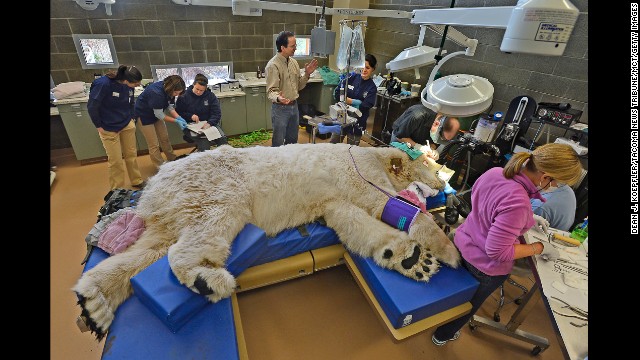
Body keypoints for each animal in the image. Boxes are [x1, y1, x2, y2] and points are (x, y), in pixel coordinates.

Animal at [75, 142, 460, 338]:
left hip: (170, 211)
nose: (446, 182)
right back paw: (206, 279)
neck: (373, 154)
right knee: (203, 230)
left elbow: (352, 222)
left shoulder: (334, 199)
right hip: (213, 187)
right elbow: (389, 206)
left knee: (147, 250)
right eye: (431, 163)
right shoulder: (360, 172)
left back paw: (93, 305)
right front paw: (447, 251)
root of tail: (155, 183)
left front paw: (413, 259)